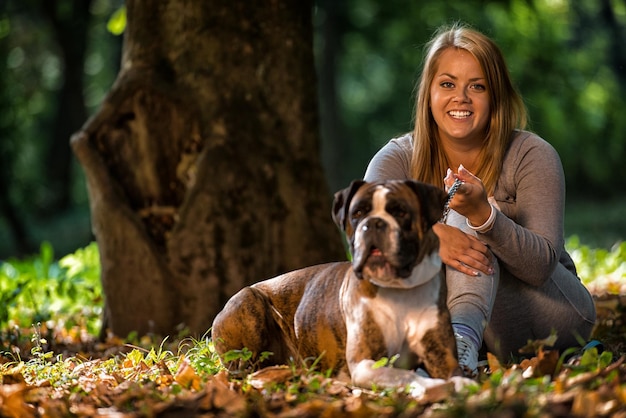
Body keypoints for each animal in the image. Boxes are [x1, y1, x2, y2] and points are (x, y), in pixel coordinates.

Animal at [212, 180, 460, 396]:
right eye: (357, 213)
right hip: (248, 301)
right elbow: (404, 375)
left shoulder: (443, 358)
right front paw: (432, 387)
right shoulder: (365, 363)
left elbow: (456, 375)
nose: (374, 223)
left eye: (400, 212)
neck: (399, 290)